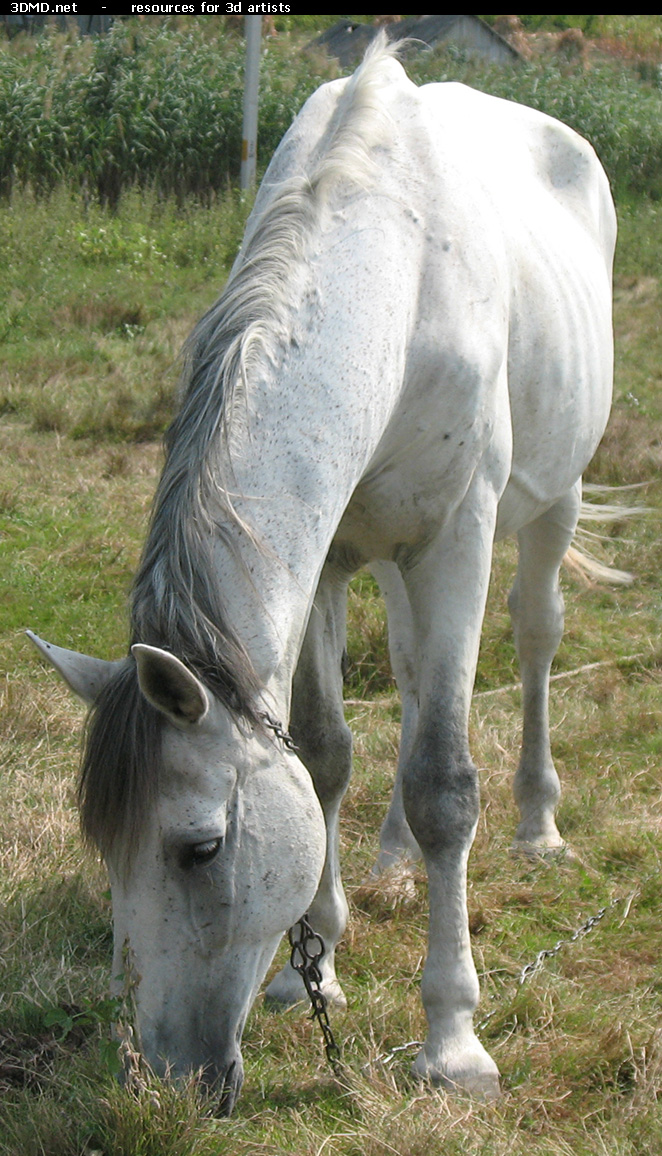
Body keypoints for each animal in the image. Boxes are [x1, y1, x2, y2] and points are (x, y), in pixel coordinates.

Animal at [29, 38, 614, 1109]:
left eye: (200, 849)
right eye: (101, 846)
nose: (166, 1083)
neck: (402, 278)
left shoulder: (457, 539)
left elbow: (444, 785)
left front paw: (453, 1043)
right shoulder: (329, 560)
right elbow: (325, 752)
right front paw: (317, 969)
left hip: (552, 505)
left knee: (535, 636)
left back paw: (538, 825)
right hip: (391, 564)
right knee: (419, 673)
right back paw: (391, 857)